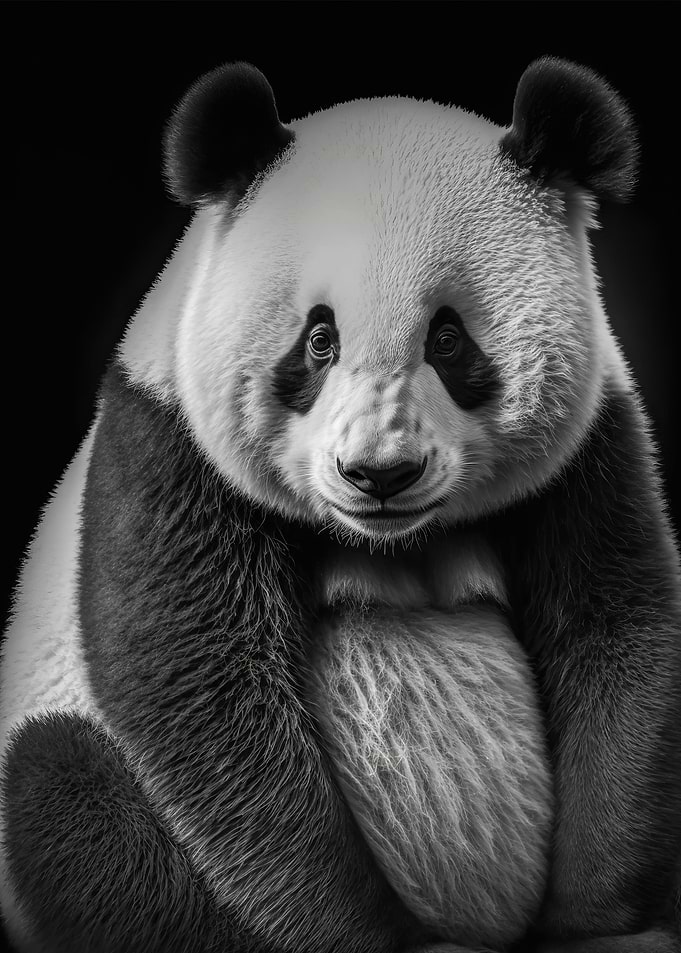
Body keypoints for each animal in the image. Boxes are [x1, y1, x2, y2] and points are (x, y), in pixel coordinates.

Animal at [1, 56, 680, 953]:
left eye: (448, 339)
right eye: (318, 340)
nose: (378, 474)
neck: (395, 538)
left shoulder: (587, 448)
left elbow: (615, 635)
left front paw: (599, 925)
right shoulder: (170, 447)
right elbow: (206, 691)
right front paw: (363, 934)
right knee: (65, 799)